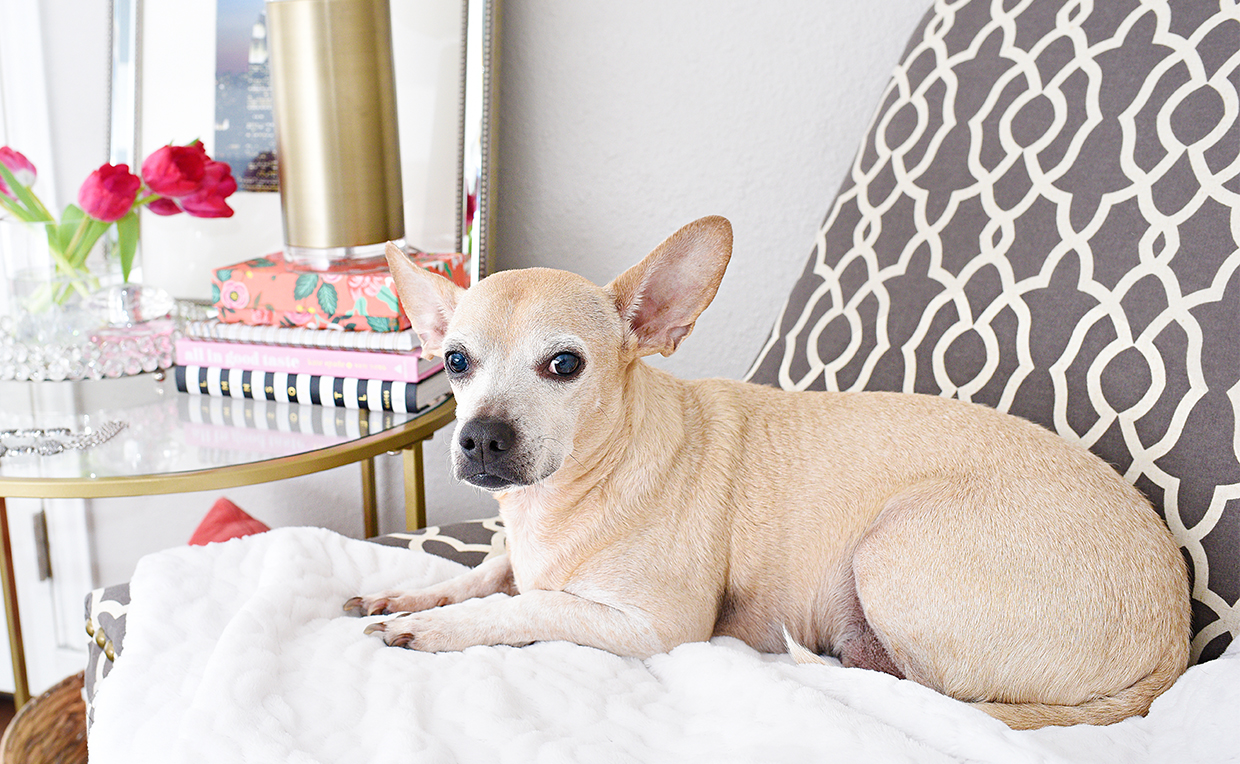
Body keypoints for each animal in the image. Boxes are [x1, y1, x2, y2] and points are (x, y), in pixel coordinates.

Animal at [349, 214, 1190, 729]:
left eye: (564, 366)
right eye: (455, 361)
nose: (479, 438)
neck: (561, 499)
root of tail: (1175, 644)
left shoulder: (651, 627)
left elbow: (523, 606)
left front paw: (432, 626)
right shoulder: (515, 550)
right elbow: (488, 573)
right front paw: (414, 593)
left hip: (889, 548)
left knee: (936, 692)